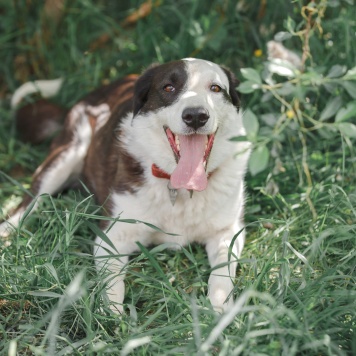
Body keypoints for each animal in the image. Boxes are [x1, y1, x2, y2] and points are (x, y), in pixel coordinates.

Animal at [0, 59, 250, 314]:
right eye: (168, 88)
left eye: (215, 88)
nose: (196, 115)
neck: (176, 186)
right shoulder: (113, 235)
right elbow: (112, 284)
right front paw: (113, 318)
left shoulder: (228, 232)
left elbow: (223, 273)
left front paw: (220, 309)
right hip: (65, 156)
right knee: (28, 202)